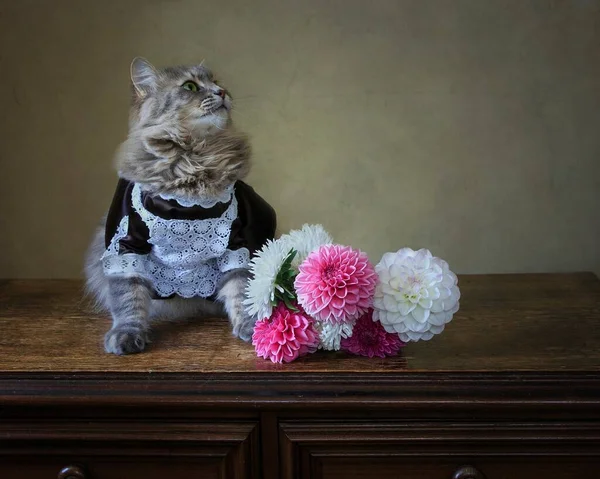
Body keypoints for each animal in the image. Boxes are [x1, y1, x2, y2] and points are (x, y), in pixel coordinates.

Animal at [85, 58, 276, 354]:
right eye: (190, 86)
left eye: (217, 82)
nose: (222, 92)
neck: (195, 160)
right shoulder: (126, 245)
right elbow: (129, 299)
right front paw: (127, 335)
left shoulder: (237, 244)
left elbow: (241, 289)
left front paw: (250, 328)